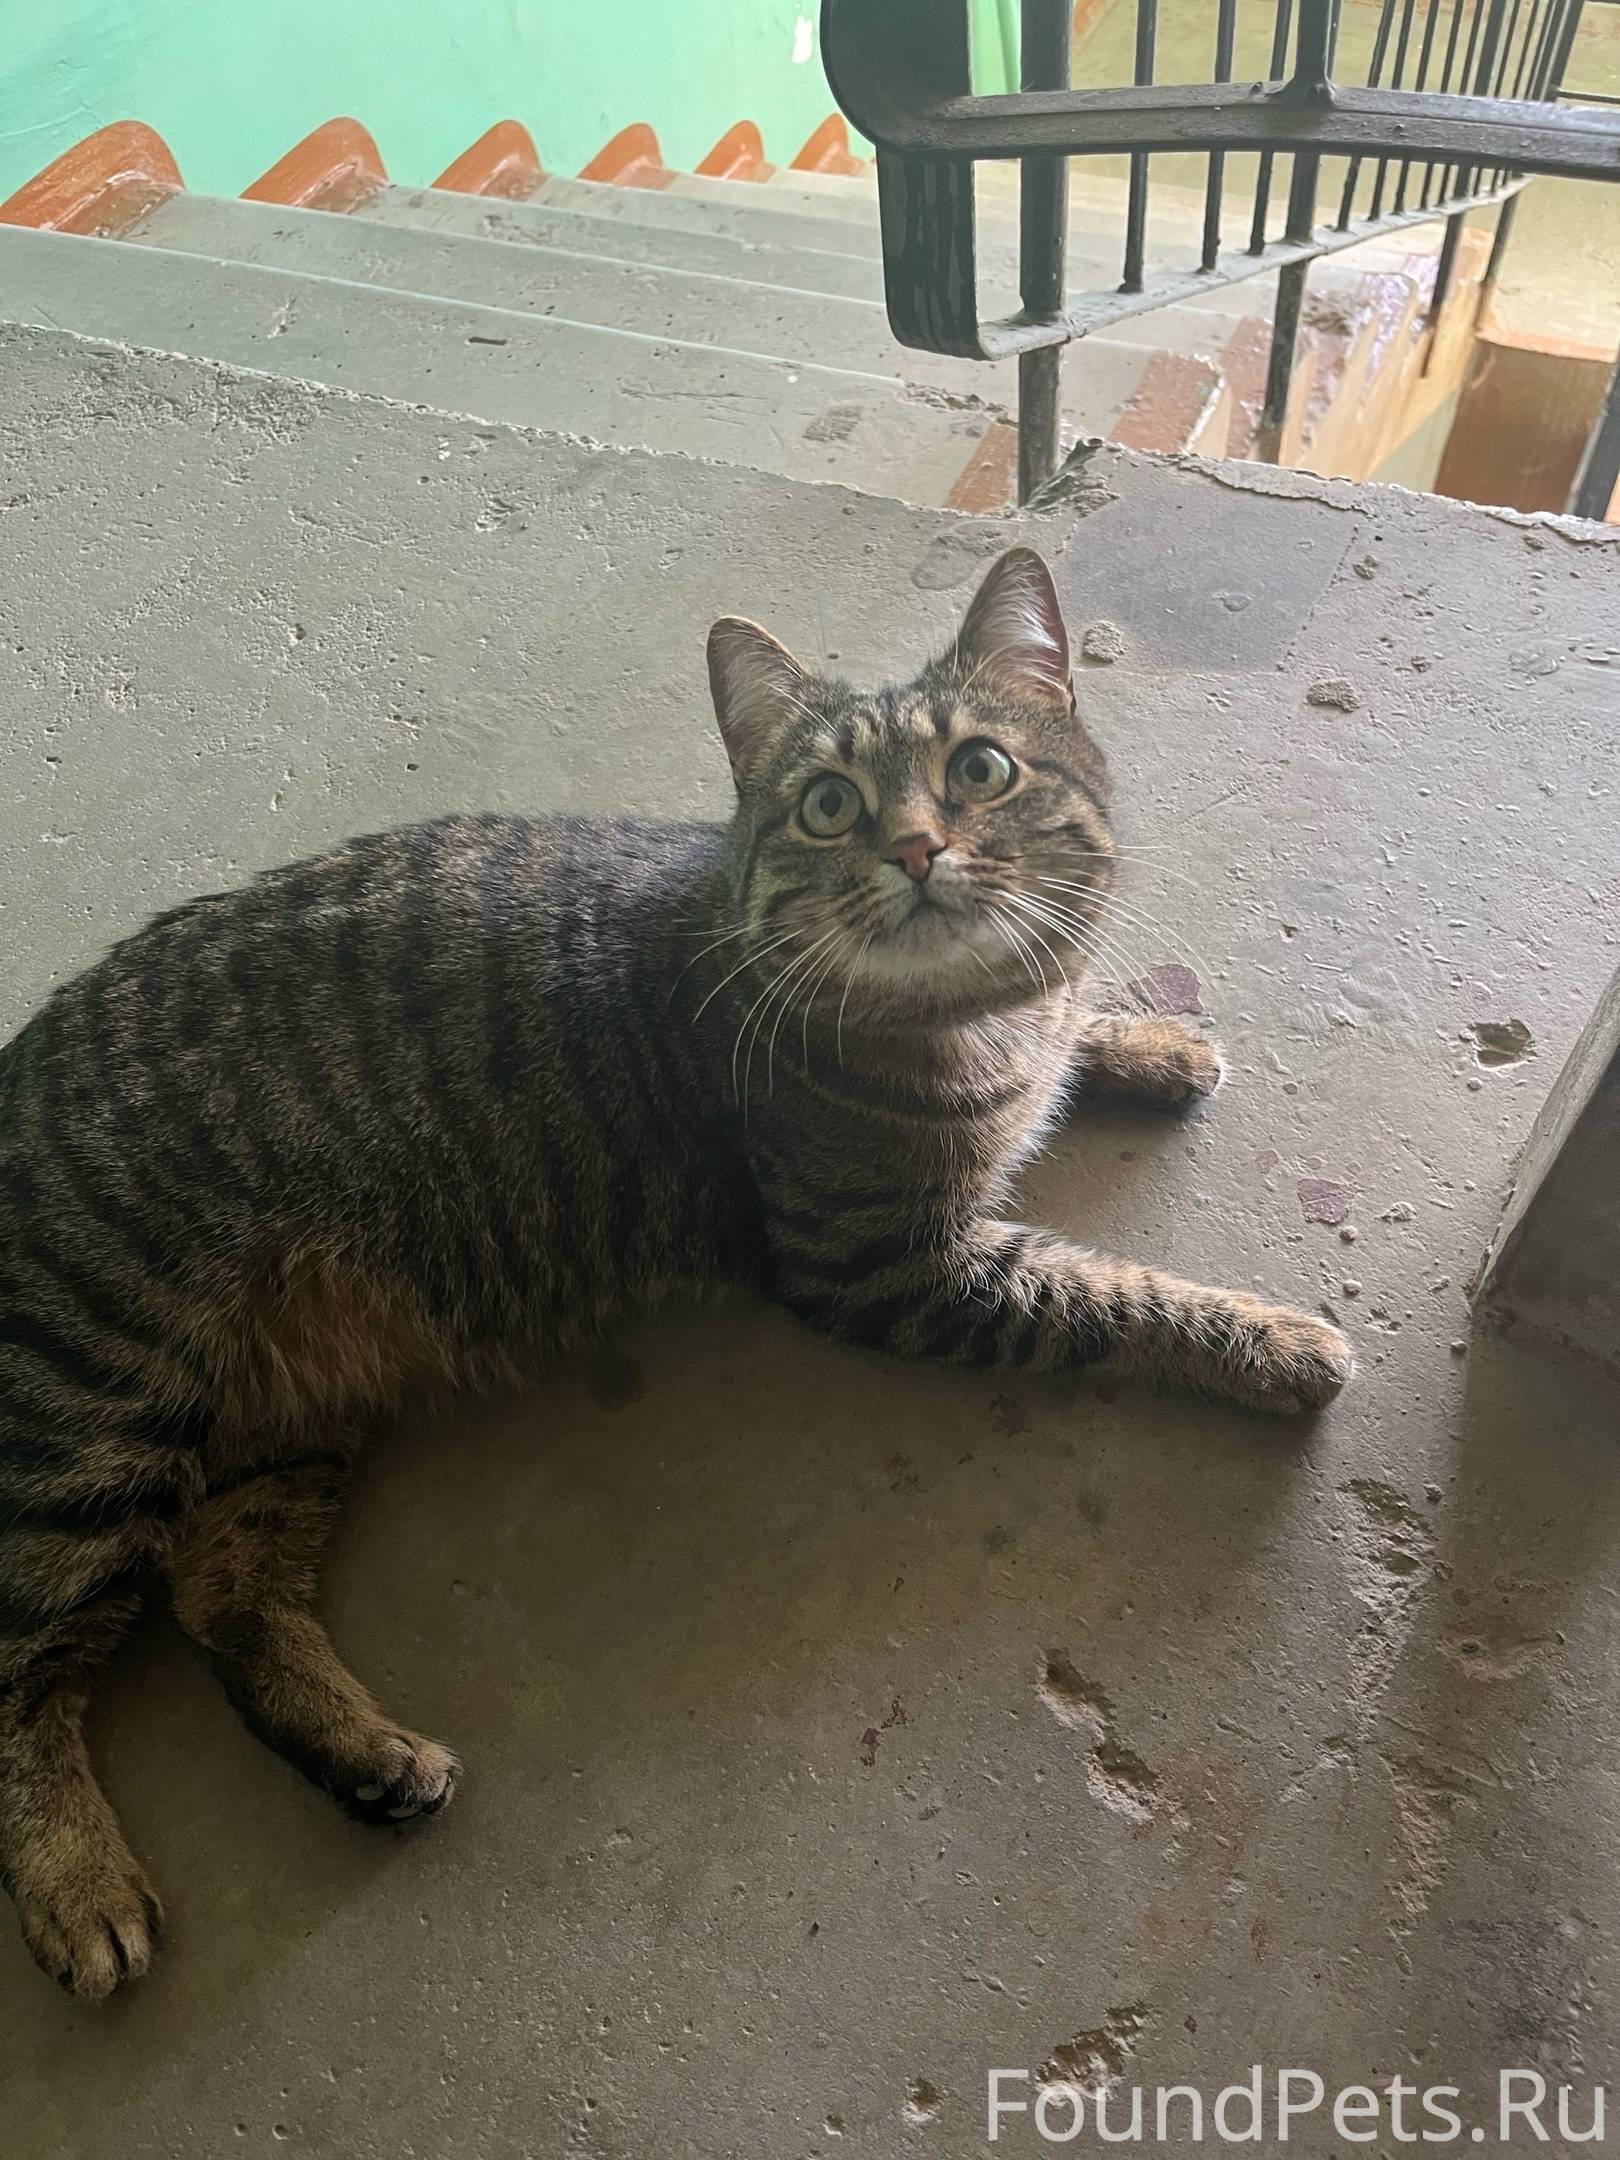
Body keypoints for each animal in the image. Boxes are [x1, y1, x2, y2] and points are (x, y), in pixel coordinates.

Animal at [0, 545, 1349, 1997]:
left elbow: (1074, 1023)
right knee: (18, 1664)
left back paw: (367, 1758)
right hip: (100, 1419)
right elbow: (1119, 1296)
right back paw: (80, 1882)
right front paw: (1275, 1340)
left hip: (287, 1422)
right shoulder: (887, 1268)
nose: (917, 847)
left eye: (982, 769)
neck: (956, 1019)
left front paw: (1146, 1038)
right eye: (830, 803)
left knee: (223, 1594)